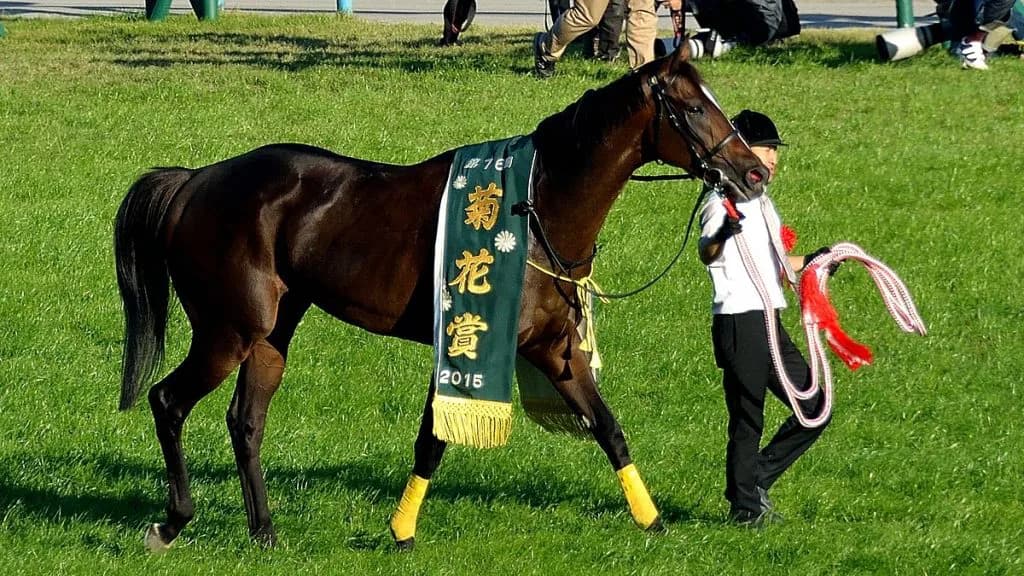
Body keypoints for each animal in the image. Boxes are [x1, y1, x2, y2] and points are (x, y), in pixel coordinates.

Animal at [114, 43, 768, 552]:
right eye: (692, 107)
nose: (754, 173)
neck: (534, 204)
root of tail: (195, 181)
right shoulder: (464, 341)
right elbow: (433, 440)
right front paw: (401, 530)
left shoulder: (554, 347)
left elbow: (608, 426)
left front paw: (653, 521)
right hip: (229, 330)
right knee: (168, 400)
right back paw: (172, 523)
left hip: (273, 331)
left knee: (246, 422)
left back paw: (265, 531)